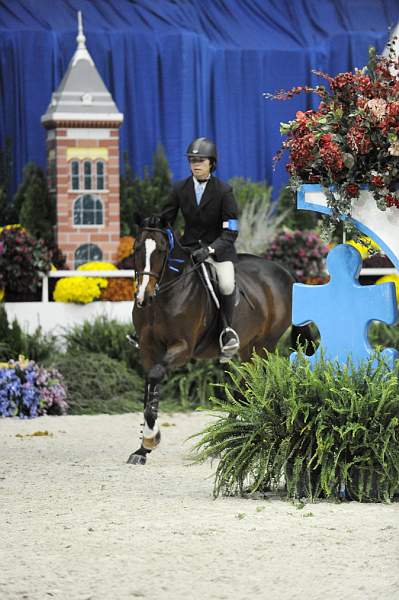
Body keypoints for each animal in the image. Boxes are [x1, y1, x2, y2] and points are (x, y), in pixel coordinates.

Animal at [128, 218, 300, 466]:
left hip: (265, 343)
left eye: (161, 250)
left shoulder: (182, 348)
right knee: (249, 381)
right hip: (249, 347)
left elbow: (155, 376)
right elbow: (148, 389)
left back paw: (228, 435)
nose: (143, 297)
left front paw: (151, 439)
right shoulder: (147, 349)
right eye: (136, 249)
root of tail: (284, 273)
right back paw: (229, 434)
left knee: (256, 380)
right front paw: (143, 448)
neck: (163, 298)